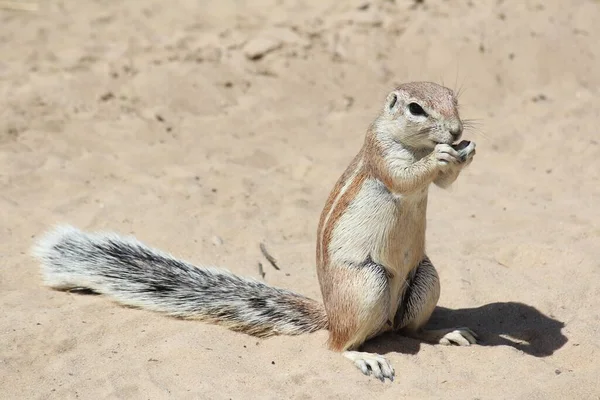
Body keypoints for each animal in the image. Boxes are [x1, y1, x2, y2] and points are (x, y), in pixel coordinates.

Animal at [36, 80, 478, 382]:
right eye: (416, 109)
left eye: (453, 98)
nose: (457, 131)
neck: (414, 144)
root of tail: (331, 313)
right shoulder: (381, 156)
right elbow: (404, 177)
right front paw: (440, 157)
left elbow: (442, 184)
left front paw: (464, 153)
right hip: (365, 285)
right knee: (337, 345)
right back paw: (363, 356)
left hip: (425, 279)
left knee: (406, 330)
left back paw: (446, 333)